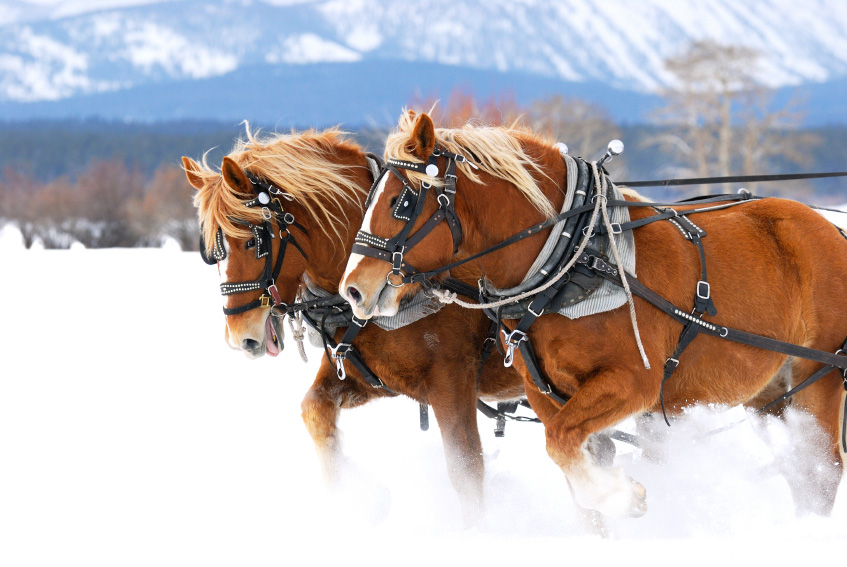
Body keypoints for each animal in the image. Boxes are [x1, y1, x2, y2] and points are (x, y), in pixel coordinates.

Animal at [181, 127, 529, 524]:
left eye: (254, 241)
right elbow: (314, 412)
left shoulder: (452, 381)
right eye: (212, 252)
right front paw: (352, 498)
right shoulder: (372, 376)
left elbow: (467, 469)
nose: (241, 338)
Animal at [340, 110, 847, 520]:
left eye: (401, 202)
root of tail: (830, 227)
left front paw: (623, 495)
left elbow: (563, 444)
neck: (574, 258)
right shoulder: (546, 395)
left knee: (821, 470)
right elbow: (568, 459)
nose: (353, 289)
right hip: (772, 393)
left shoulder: (633, 383)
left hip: (818, 375)